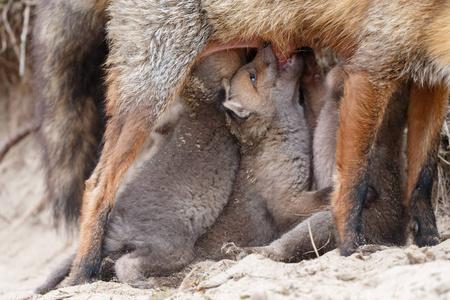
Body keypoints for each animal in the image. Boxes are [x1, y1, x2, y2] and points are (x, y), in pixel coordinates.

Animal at [34, 0, 450, 284]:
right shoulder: (370, 68)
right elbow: (354, 183)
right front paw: (353, 248)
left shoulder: (430, 80)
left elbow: (422, 178)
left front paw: (430, 240)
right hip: (154, 83)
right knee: (97, 183)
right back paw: (84, 273)